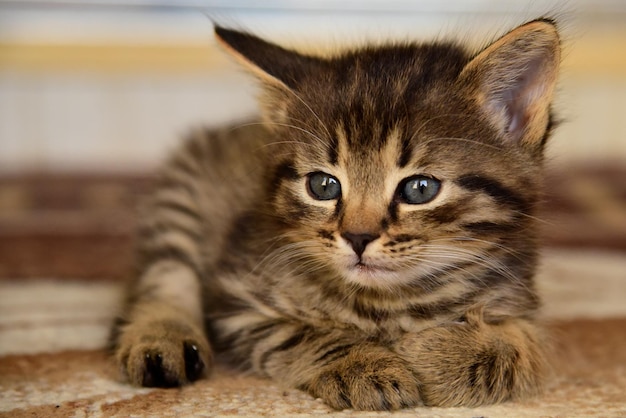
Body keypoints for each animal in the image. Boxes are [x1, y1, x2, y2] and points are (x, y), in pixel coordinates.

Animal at [109, 18, 560, 410]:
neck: (389, 303)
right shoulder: (238, 301)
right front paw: (365, 364)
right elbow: (299, 335)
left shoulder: (517, 294)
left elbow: (527, 345)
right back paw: (161, 341)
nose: (358, 237)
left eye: (420, 189)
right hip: (181, 203)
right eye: (323, 186)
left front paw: (440, 354)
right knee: (164, 279)